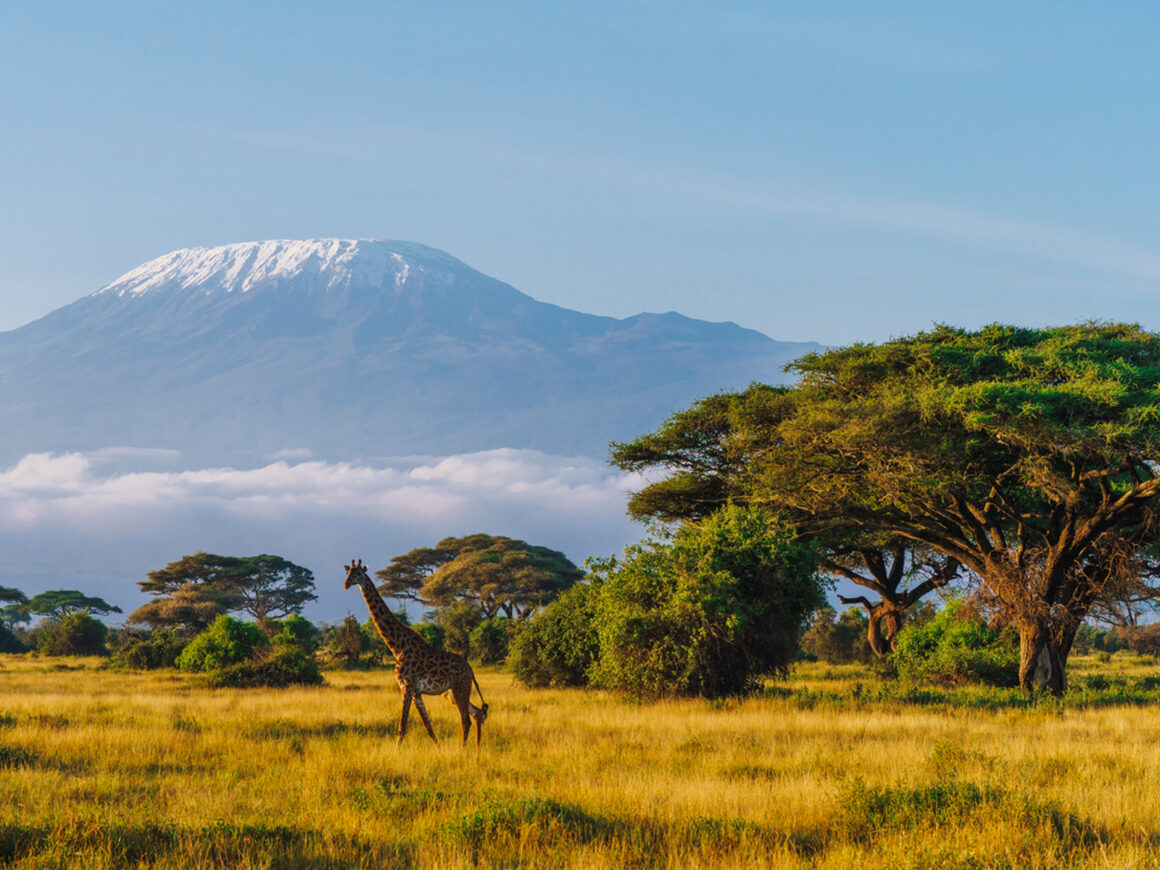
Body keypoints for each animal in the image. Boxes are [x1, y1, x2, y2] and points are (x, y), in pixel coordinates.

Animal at [343, 559, 488, 746]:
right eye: (348, 573)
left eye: (359, 574)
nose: (346, 584)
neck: (397, 646)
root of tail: (470, 670)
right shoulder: (416, 692)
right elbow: (428, 727)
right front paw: (439, 749)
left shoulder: (406, 686)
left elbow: (402, 727)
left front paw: (396, 751)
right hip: (452, 693)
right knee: (477, 712)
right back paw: (477, 748)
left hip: (460, 687)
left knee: (466, 719)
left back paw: (464, 750)